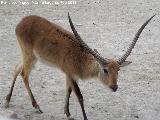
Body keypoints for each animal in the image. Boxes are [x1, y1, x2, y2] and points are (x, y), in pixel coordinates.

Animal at [5, 12, 155, 119]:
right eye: (105, 70)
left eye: (118, 70)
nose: (114, 87)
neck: (80, 57)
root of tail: (22, 22)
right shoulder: (71, 74)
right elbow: (80, 96)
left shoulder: (69, 75)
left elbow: (68, 91)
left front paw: (67, 113)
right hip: (29, 55)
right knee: (24, 74)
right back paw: (37, 107)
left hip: (31, 57)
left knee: (16, 69)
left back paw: (7, 101)